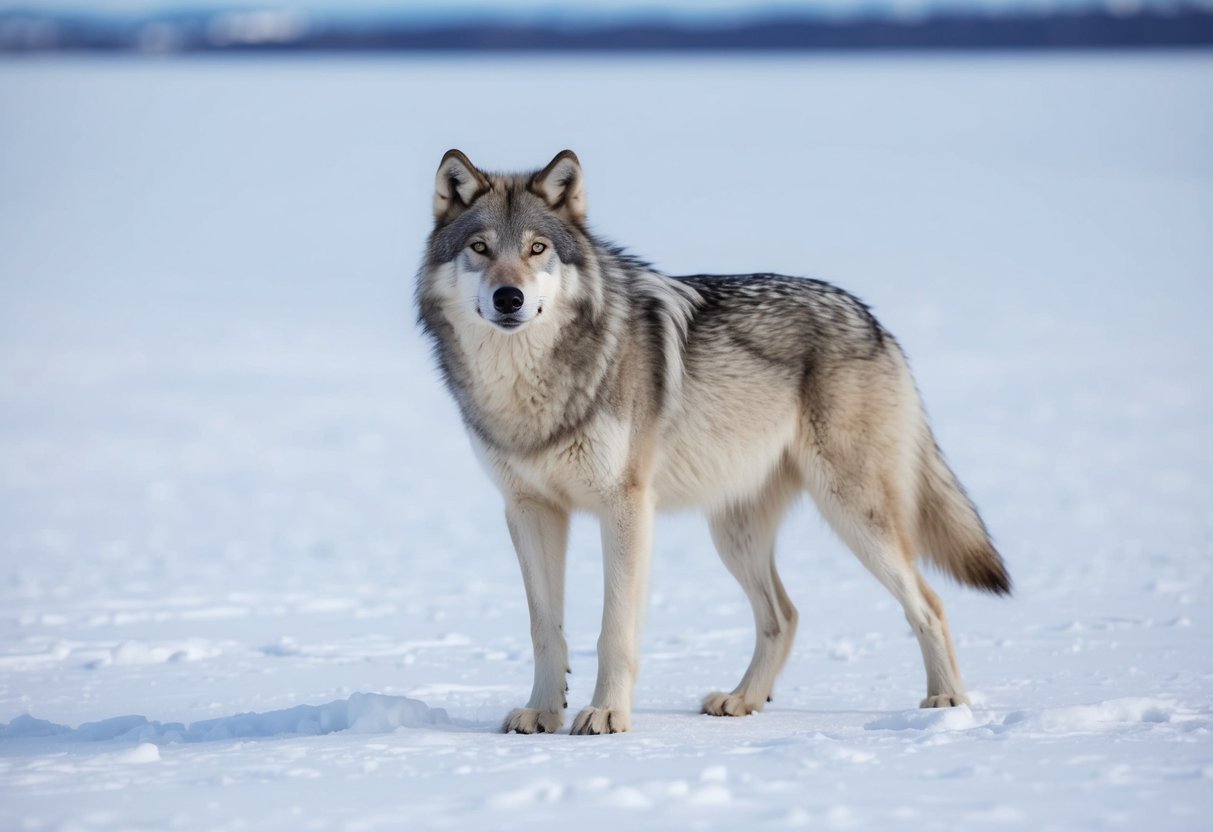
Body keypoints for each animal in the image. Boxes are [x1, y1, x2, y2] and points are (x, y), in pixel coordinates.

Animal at [416, 149, 1010, 735]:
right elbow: (545, 628)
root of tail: (873, 319)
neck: (529, 390)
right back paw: (742, 700)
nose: (508, 297)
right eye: (480, 248)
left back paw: (946, 704)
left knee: (929, 603)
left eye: (536, 249)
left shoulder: (625, 507)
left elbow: (615, 630)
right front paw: (542, 712)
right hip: (734, 532)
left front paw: (606, 714)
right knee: (785, 615)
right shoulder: (529, 510)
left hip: (855, 514)